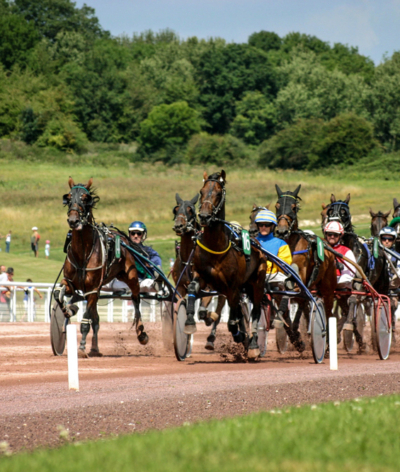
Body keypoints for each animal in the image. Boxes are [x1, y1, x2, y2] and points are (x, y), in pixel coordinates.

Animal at [55, 179, 149, 356]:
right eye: (68, 197)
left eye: (85, 198)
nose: (73, 220)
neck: (83, 253)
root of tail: (122, 238)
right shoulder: (71, 283)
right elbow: (59, 293)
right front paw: (70, 309)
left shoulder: (92, 289)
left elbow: (86, 319)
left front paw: (82, 347)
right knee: (96, 318)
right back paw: (95, 348)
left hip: (131, 276)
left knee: (136, 298)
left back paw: (141, 334)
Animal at [170, 192, 227, 350]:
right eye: (176, 209)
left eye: (190, 210)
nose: (179, 225)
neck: (189, 260)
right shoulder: (181, 287)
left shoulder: (207, 286)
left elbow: (203, 311)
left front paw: (208, 317)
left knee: (218, 310)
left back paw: (211, 338)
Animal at [184, 171, 266, 360]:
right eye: (201, 191)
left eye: (218, 193)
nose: (204, 216)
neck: (216, 245)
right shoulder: (202, 277)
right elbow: (192, 289)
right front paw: (190, 321)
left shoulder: (233, 286)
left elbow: (232, 321)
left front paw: (240, 334)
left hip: (257, 282)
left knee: (256, 310)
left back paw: (252, 344)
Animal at [272, 184, 338, 350]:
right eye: (277, 205)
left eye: (294, 207)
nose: (281, 231)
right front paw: (295, 337)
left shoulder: (299, 277)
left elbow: (291, 290)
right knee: (304, 303)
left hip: (328, 288)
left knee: (328, 311)